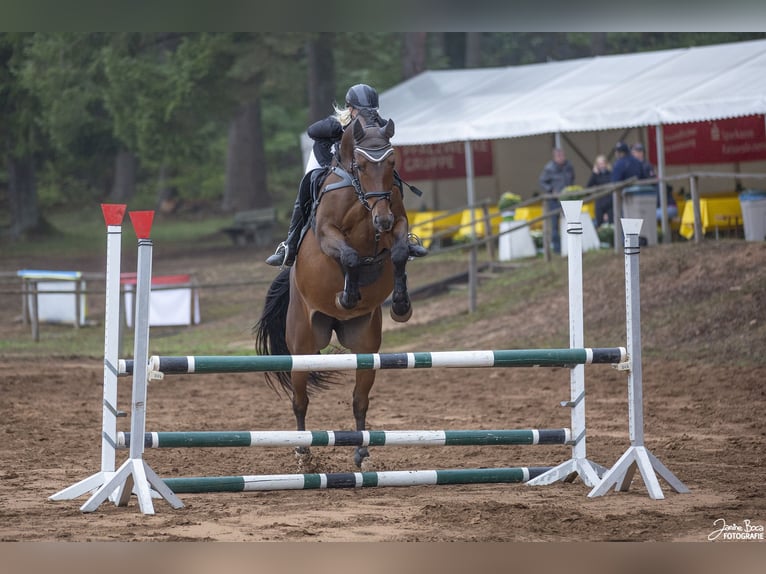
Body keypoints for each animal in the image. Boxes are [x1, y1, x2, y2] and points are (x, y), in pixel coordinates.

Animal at [254, 108, 413, 469]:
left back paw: (362, 453)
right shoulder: (328, 232)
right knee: (300, 400)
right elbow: (350, 255)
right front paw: (347, 294)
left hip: (366, 348)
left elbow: (397, 252)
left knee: (359, 400)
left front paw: (401, 305)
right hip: (302, 345)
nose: (381, 220)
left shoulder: (396, 221)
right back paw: (303, 454)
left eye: (392, 163)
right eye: (362, 165)